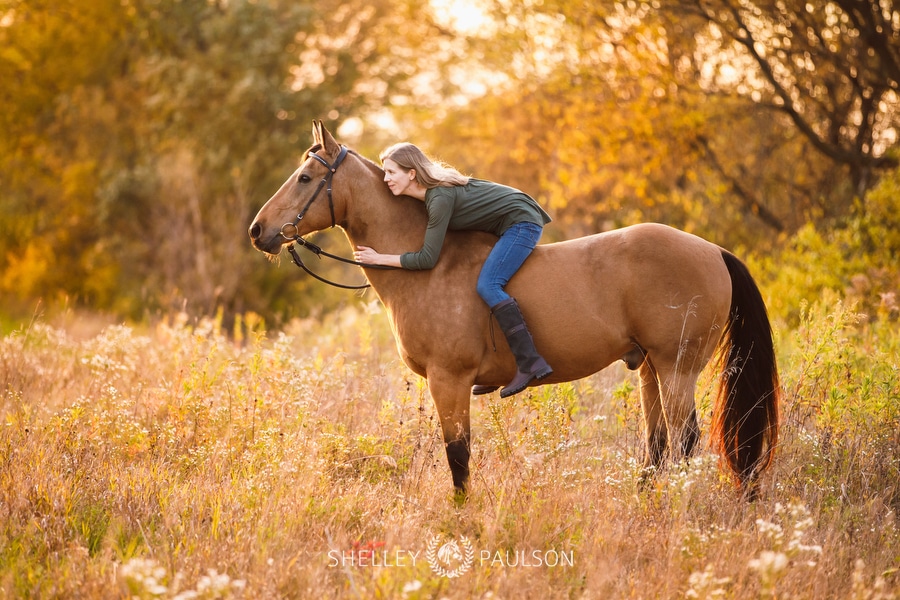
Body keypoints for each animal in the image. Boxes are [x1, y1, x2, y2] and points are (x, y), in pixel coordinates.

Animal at [248, 119, 780, 500]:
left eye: (306, 178)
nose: (258, 231)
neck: (428, 264)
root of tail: (713, 250)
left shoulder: (449, 380)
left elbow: (458, 457)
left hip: (676, 368)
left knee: (685, 442)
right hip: (651, 368)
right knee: (658, 445)